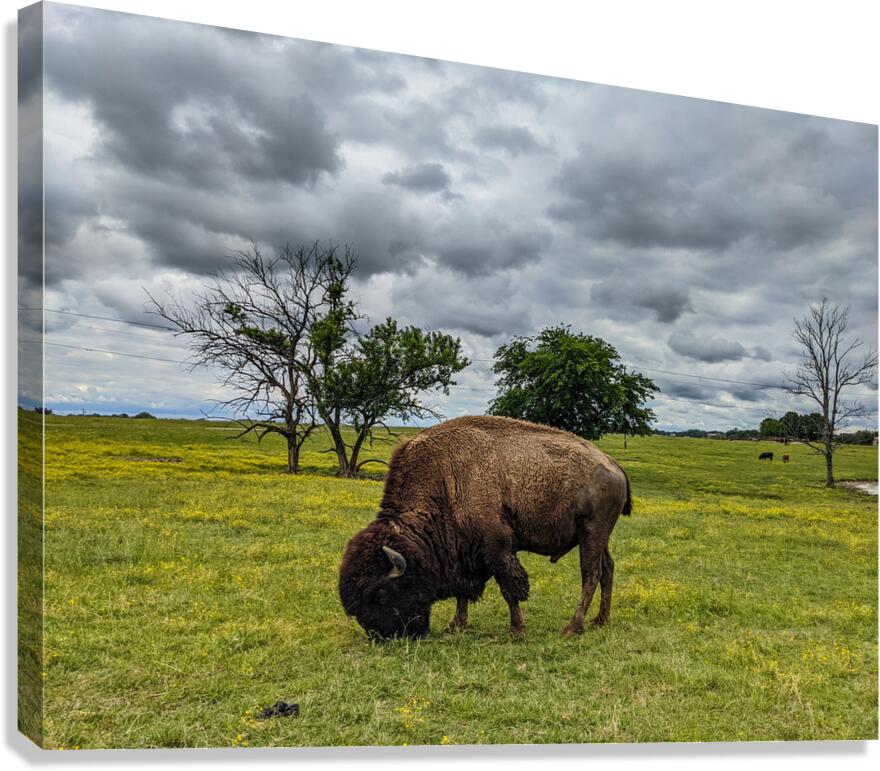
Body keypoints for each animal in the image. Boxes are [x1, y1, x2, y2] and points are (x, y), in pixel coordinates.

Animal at [338, 415, 631, 640]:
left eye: (381, 594)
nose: (382, 636)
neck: (445, 480)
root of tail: (614, 465)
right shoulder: (462, 552)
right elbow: (463, 593)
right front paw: (456, 624)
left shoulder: (497, 548)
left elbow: (509, 588)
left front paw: (516, 630)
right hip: (597, 537)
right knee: (607, 569)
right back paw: (600, 620)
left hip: (591, 532)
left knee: (590, 574)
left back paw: (572, 627)